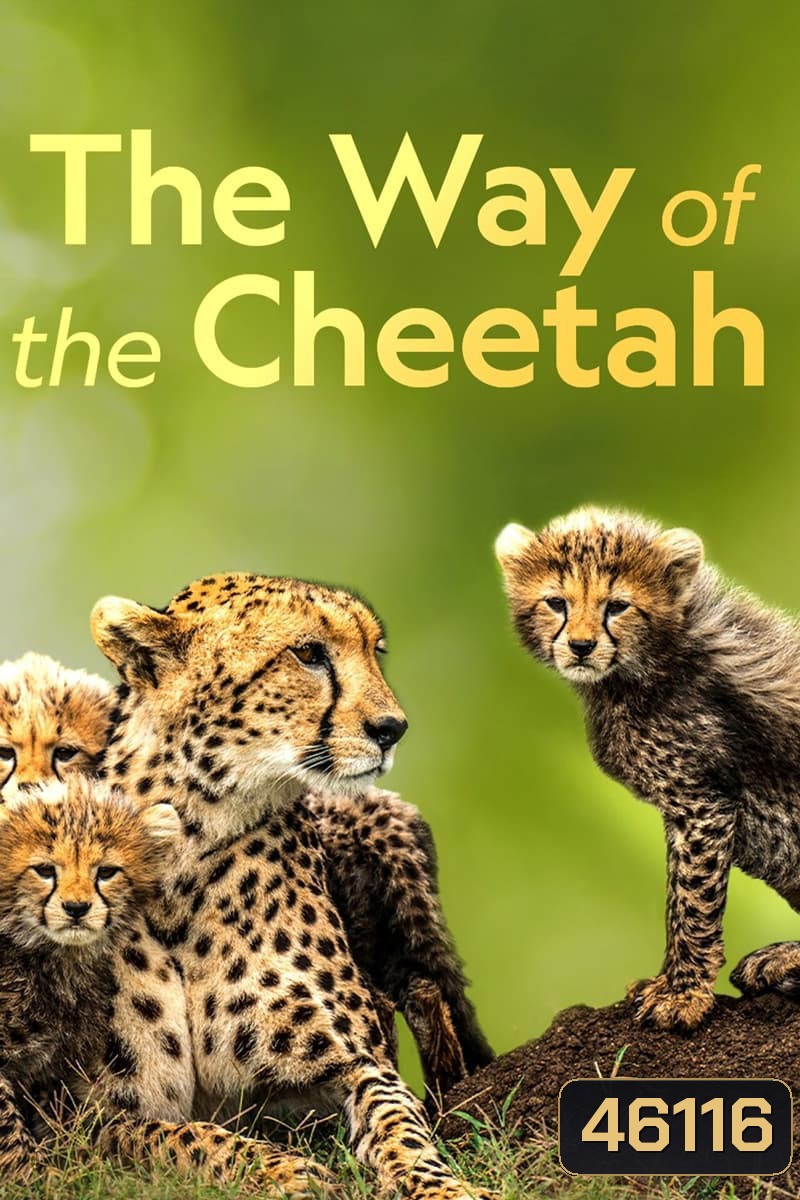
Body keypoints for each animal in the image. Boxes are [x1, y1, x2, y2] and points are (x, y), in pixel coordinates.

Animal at [91, 573, 495, 1199]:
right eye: (309, 654)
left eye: (375, 652)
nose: (393, 728)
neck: (191, 840)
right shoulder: (86, 1117)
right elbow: (175, 1139)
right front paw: (280, 1169)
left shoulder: (354, 1060)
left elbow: (400, 1124)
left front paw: (442, 1186)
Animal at [496, 506, 800, 1032]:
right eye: (556, 602)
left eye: (617, 606)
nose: (580, 646)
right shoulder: (683, 808)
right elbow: (676, 899)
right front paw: (666, 983)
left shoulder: (702, 804)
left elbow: (693, 900)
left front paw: (684, 995)